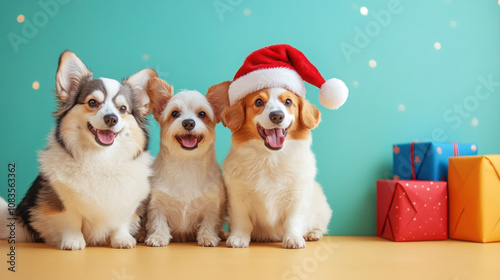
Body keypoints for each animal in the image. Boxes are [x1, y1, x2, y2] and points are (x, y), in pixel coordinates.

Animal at [0, 50, 155, 249]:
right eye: (92, 102)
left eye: (122, 109)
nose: (111, 118)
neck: (100, 158)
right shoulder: (61, 201)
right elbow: (71, 222)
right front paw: (73, 241)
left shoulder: (126, 204)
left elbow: (120, 223)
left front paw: (122, 239)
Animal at [143, 77, 225, 246]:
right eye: (175, 113)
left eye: (202, 114)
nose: (188, 123)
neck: (186, 164)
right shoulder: (156, 202)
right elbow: (157, 221)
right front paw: (158, 236)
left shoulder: (213, 203)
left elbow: (210, 221)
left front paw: (208, 237)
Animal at [205, 81, 334, 249]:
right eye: (259, 102)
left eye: (288, 102)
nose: (277, 116)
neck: (270, 158)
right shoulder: (238, 197)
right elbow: (242, 221)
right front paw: (238, 238)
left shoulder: (297, 196)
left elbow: (292, 220)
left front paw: (293, 238)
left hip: (321, 208)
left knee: (319, 226)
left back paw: (312, 234)